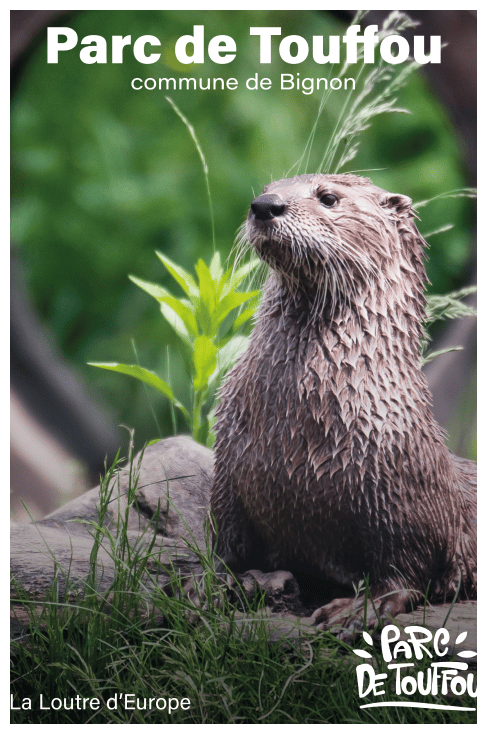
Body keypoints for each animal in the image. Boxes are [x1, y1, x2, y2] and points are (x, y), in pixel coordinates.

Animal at [211, 173, 476, 628]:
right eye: (267, 187)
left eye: (329, 198)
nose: (265, 205)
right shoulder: (228, 468)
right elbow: (228, 546)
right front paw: (213, 583)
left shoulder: (404, 495)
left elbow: (408, 570)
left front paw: (360, 608)